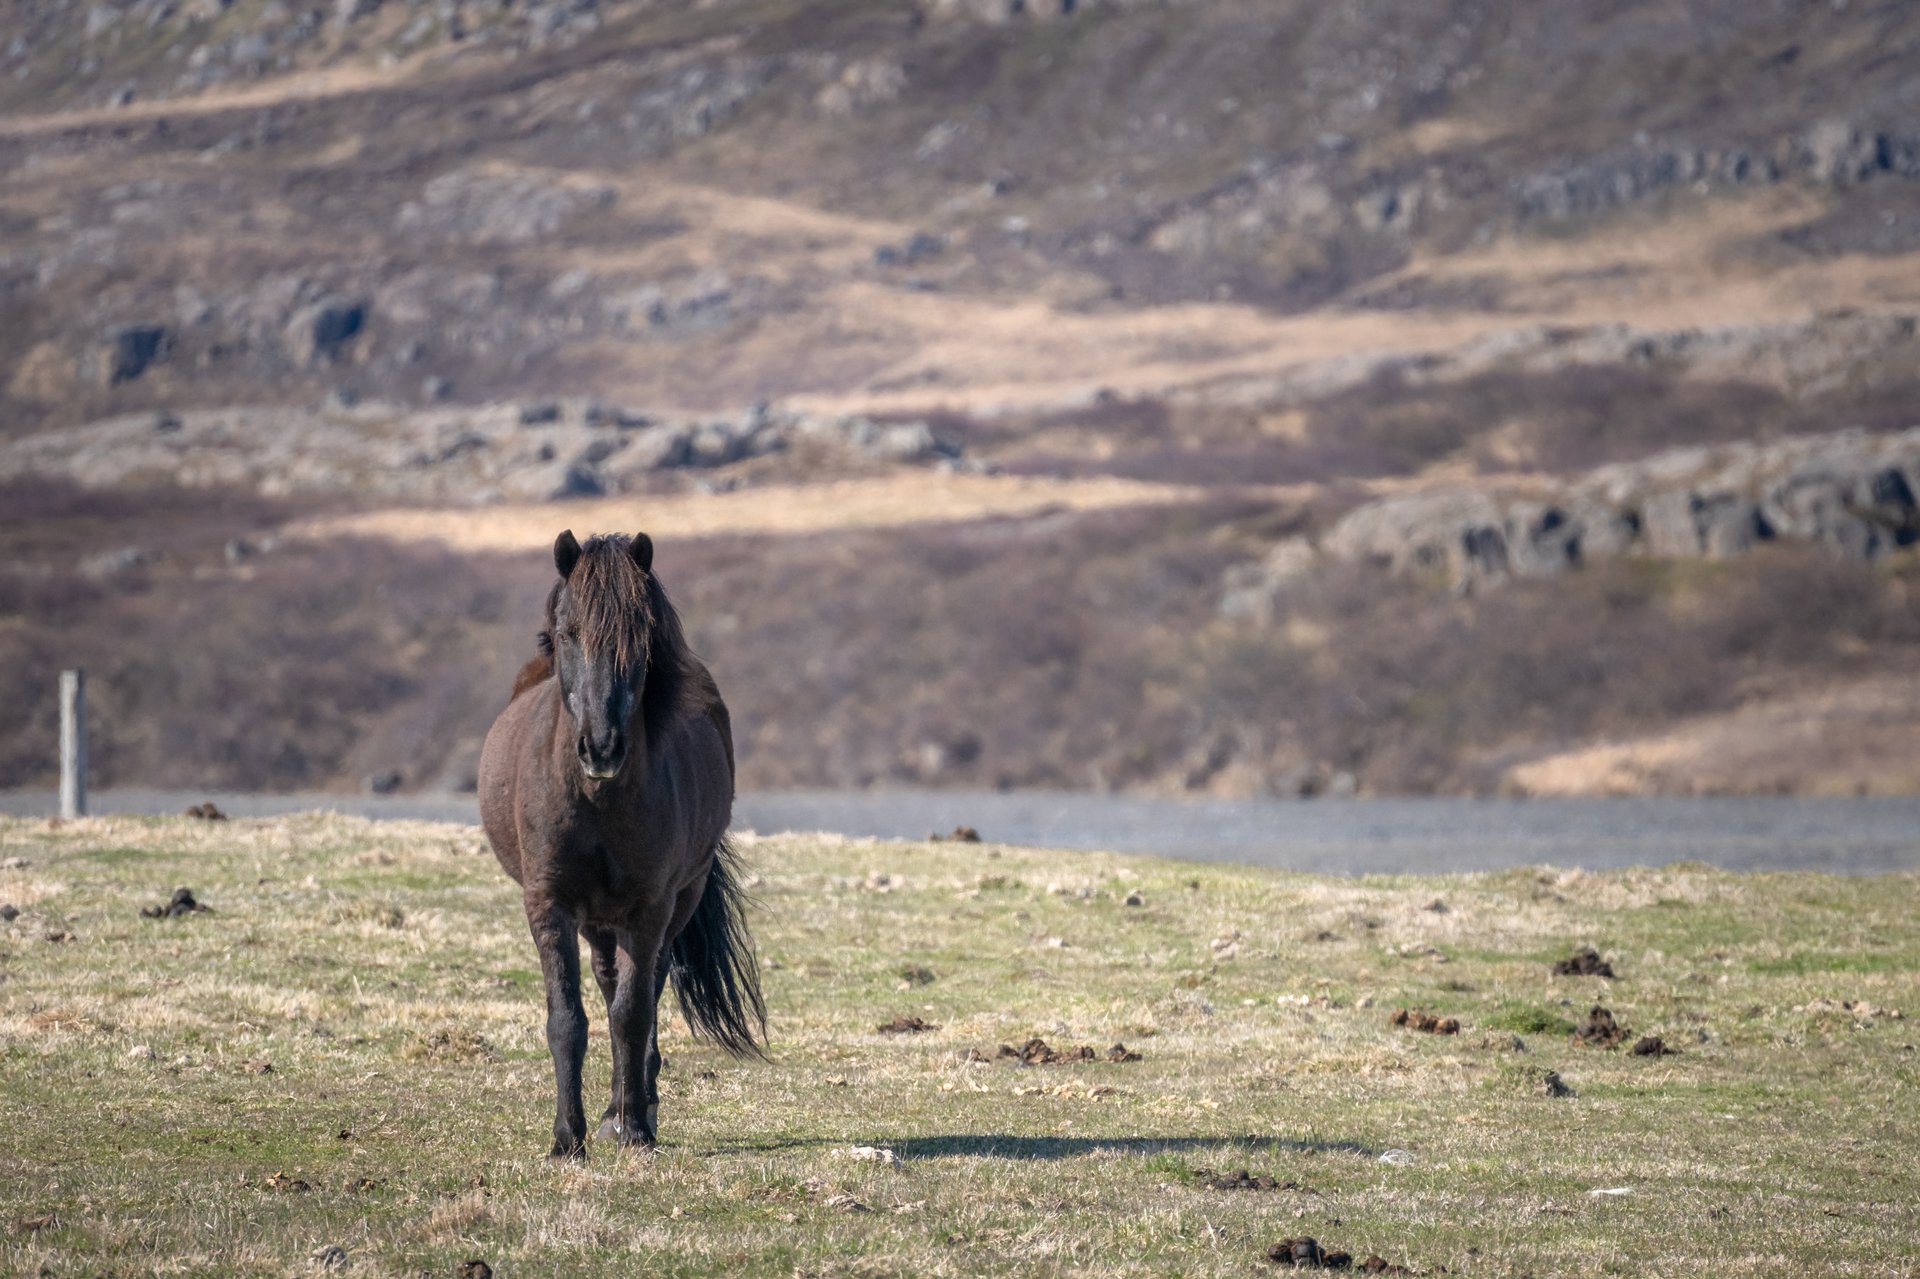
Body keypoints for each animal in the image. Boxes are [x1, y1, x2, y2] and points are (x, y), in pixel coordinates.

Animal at [478, 529, 763, 1160]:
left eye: (639, 638)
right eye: (568, 632)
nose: (601, 748)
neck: (598, 802)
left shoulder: (649, 906)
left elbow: (632, 1013)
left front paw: (633, 1128)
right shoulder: (550, 903)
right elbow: (568, 1019)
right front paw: (567, 1139)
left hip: (675, 901)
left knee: (645, 988)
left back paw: (632, 1109)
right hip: (596, 917)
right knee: (609, 985)